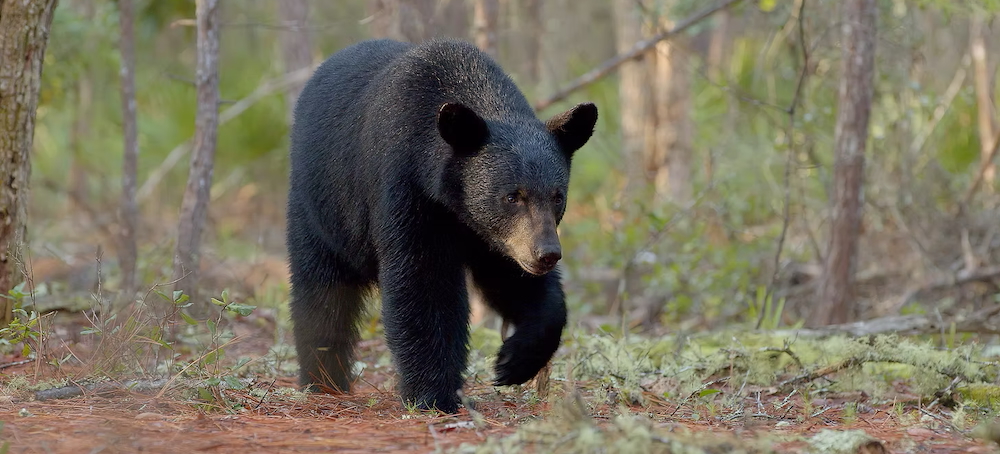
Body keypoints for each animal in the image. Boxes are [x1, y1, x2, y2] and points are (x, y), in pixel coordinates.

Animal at [286, 38, 598, 414]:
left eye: (557, 196)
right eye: (512, 196)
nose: (547, 254)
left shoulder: (496, 239)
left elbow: (515, 283)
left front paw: (514, 361)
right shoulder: (408, 190)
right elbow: (423, 284)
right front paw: (434, 394)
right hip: (320, 206)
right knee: (321, 293)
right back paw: (323, 377)